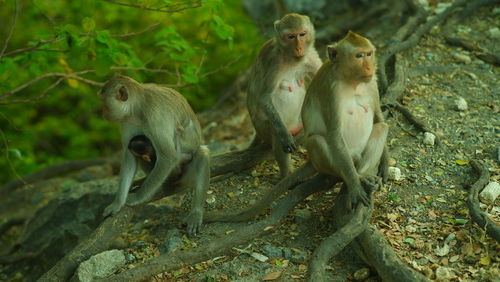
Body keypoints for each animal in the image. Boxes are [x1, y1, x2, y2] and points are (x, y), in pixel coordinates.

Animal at [100, 74, 210, 235]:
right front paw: (118, 202)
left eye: (105, 105)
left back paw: (195, 211)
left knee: (201, 153)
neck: (138, 109)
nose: (104, 114)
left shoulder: (155, 117)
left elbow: (168, 156)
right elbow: (129, 155)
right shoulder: (126, 121)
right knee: (137, 148)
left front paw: (137, 198)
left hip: (184, 173)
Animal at [248, 13, 322, 178]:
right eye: (291, 36)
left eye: (302, 34)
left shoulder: (310, 55)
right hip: (264, 129)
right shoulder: (273, 62)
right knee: (275, 135)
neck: (291, 58)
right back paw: (286, 175)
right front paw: (284, 137)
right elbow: (264, 97)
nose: (299, 47)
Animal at [298, 31, 388, 209]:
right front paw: (355, 186)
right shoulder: (331, 90)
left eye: (369, 54)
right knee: (317, 141)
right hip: (335, 161)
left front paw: (385, 162)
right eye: (359, 56)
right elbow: (335, 134)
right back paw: (354, 178)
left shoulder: (372, 82)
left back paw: (364, 174)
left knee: (382, 127)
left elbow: (378, 119)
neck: (352, 80)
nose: (369, 67)